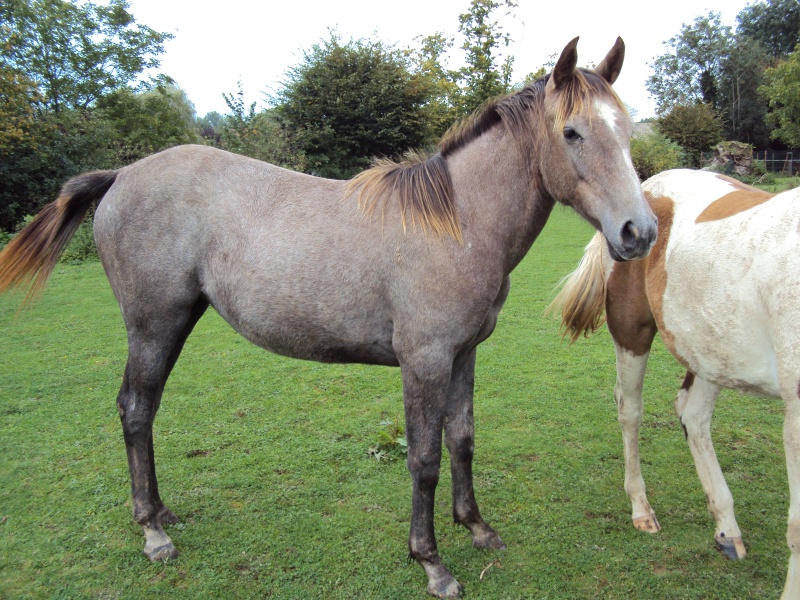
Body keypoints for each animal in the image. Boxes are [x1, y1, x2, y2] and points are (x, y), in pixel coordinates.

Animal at [0, 38, 656, 600]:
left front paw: (476, 528)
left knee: (143, 410)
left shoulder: (463, 353)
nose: (639, 232)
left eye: (625, 130)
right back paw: (153, 533)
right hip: (152, 326)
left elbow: (462, 440)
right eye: (571, 131)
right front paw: (431, 562)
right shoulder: (423, 361)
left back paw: (160, 513)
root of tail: (121, 176)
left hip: (174, 323)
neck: (457, 224)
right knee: (136, 411)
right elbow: (424, 458)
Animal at [552, 169, 800, 600]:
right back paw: (641, 508)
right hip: (633, 333)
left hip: (709, 347)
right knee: (630, 410)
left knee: (693, 416)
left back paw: (726, 529)